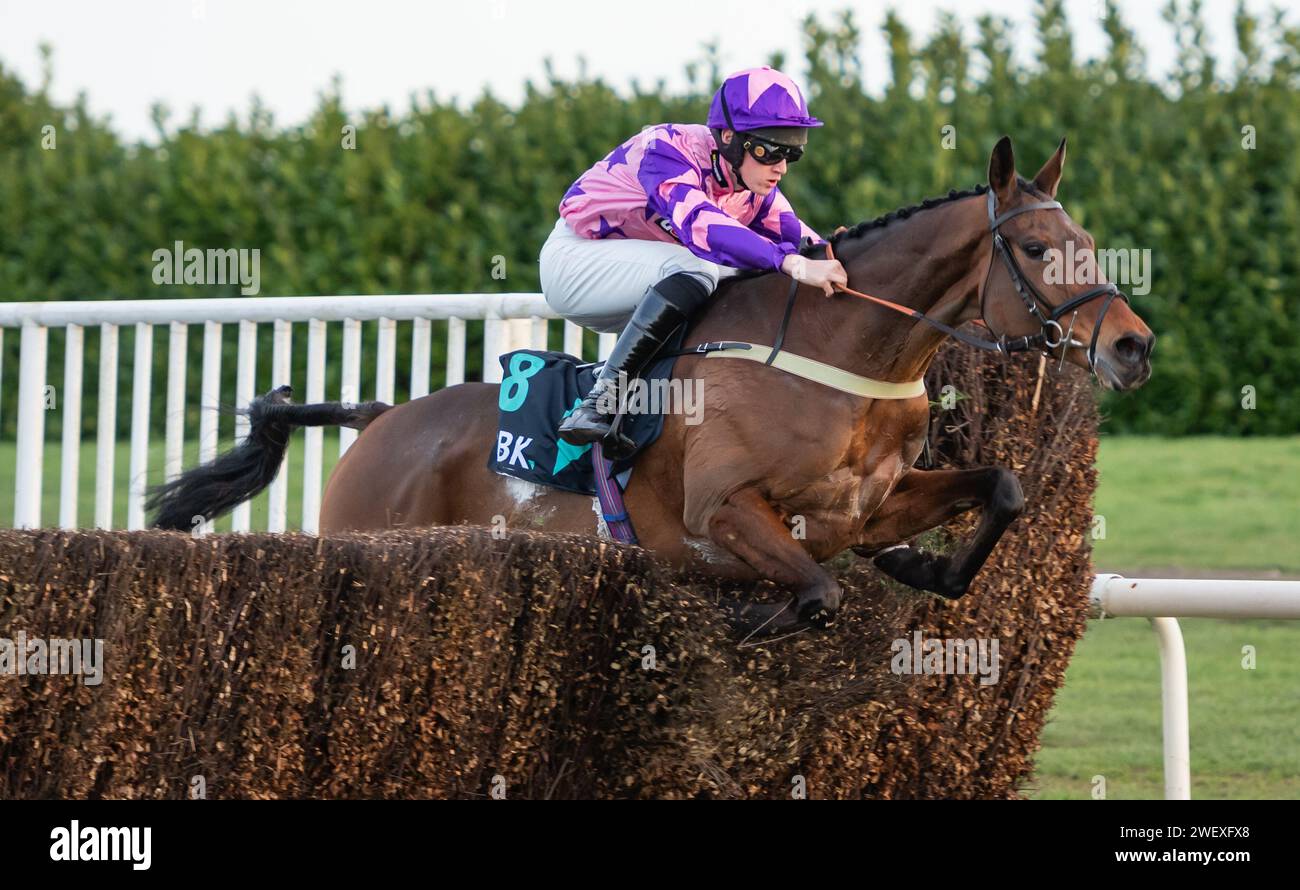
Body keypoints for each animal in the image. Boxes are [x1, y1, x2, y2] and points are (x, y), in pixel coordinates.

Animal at [147, 137, 1154, 631]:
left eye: (1091, 241)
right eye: (1036, 248)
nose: (1134, 347)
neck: (843, 358)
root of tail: (384, 420)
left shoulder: (867, 506)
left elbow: (1006, 487)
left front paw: (923, 566)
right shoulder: (722, 513)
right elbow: (816, 599)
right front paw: (753, 622)